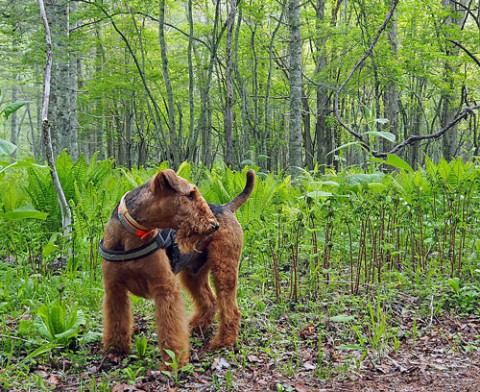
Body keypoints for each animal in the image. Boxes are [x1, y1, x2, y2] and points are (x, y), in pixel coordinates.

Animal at [100, 169, 219, 368]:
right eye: (190, 195)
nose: (214, 225)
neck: (133, 234)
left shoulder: (165, 286)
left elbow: (170, 326)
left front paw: (175, 359)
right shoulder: (114, 288)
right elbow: (117, 321)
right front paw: (115, 350)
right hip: (194, 274)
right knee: (209, 300)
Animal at [166, 169, 255, 350]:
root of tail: (225, 207)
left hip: (223, 267)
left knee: (231, 310)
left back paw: (224, 341)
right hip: (194, 272)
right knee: (210, 302)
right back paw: (196, 326)